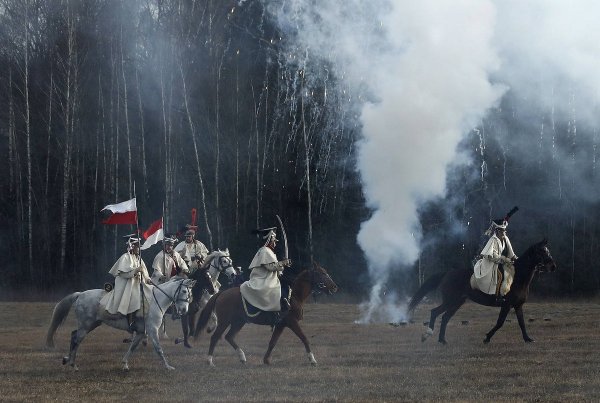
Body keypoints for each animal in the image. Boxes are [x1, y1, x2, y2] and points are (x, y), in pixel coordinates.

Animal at [47, 278, 197, 372]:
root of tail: (80, 294)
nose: (184, 311)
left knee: (74, 336)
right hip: (85, 326)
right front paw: (168, 367)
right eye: (184, 291)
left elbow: (132, 347)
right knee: (76, 339)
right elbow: (159, 349)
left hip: (92, 325)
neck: (156, 300)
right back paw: (73, 364)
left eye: (190, 293)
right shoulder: (152, 330)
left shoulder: (141, 332)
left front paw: (125, 364)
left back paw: (67, 360)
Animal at [196, 264, 340, 368]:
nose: (334, 287)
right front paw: (312, 360)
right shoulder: (292, 322)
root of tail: (221, 293)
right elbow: (304, 338)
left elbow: (272, 342)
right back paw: (210, 361)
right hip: (224, 322)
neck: (293, 296)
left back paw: (242, 357)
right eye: (322, 273)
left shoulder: (281, 324)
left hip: (238, 322)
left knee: (229, 337)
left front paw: (266, 360)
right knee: (215, 337)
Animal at [408, 238, 556, 346]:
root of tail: (447, 273)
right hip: (450, 301)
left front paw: (528, 339)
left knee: (445, 317)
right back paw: (427, 335)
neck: (518, 277)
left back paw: (442, 340)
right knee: (435, 312)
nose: (553, 267)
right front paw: (487, 338)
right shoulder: (506, 305)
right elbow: (500, 322)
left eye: (547, 250)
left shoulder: (518, 305)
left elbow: (522, 323)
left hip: (457, 302)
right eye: (541, 251)